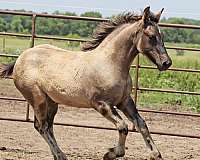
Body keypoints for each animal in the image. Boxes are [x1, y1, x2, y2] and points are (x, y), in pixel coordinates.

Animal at [0, 6, 172, 160]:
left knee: (47, 126)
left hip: (52, 102)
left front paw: (155, 154)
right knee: (42, 126)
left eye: (162, 35)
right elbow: (123, 127)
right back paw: (61, 155)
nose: (166, 63)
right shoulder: (101, 104)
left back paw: (58, 155)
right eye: (151, 36)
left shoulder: (124, 101)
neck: (110, 64)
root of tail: (20, 58)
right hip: (38, 99)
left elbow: (141, 124)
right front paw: (111, 153)